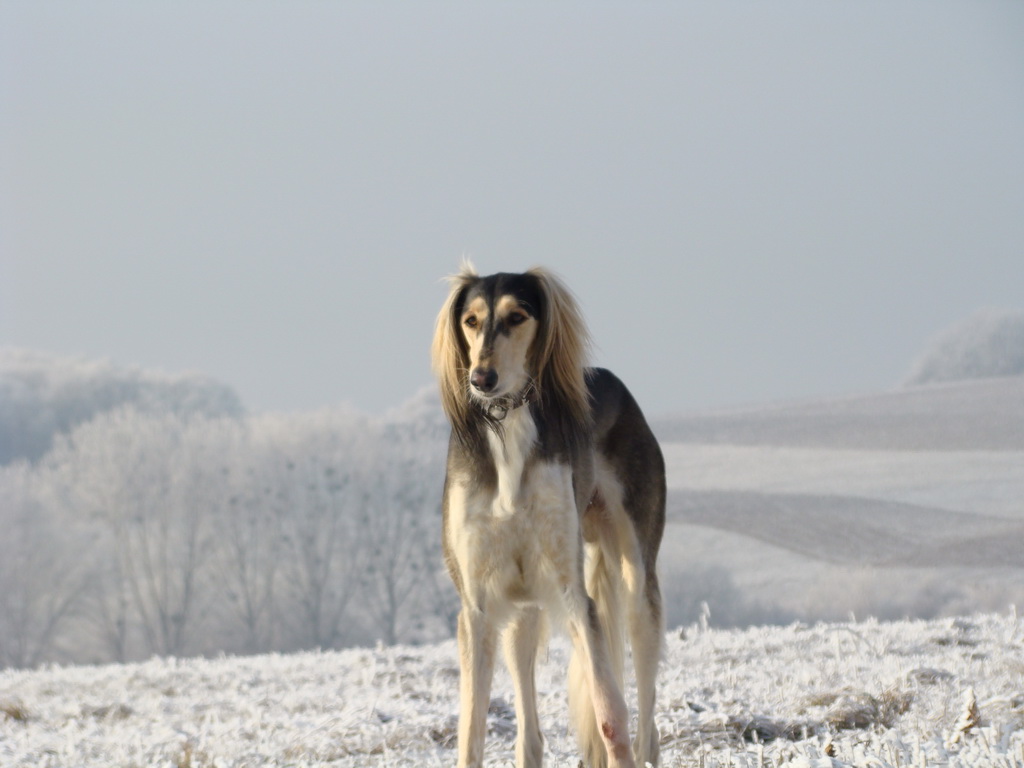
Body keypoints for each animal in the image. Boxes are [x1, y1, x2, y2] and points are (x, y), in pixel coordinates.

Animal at [430, 266, 663, 768]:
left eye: (517, 316)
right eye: (470, 321)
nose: (482, 378)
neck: (507, 428)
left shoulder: (574, 595)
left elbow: (611, 717)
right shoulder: (477, 605)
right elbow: (471, 730)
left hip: (637, 584)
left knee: (646, 719)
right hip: (524, 606)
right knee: (530, 730)